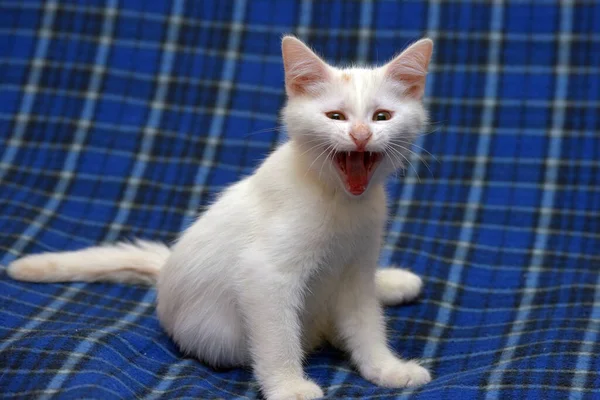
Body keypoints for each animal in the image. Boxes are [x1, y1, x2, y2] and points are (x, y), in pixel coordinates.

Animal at [7, 36, 434, 398]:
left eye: (381, 116)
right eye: (335, 116)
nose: (361, 135)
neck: (341, 201)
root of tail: (166, 273)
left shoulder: (356, 271)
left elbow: (367, 327)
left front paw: (386, 368)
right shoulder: (265, 275)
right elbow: (278, 337)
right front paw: (289, 387)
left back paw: (393, 282)